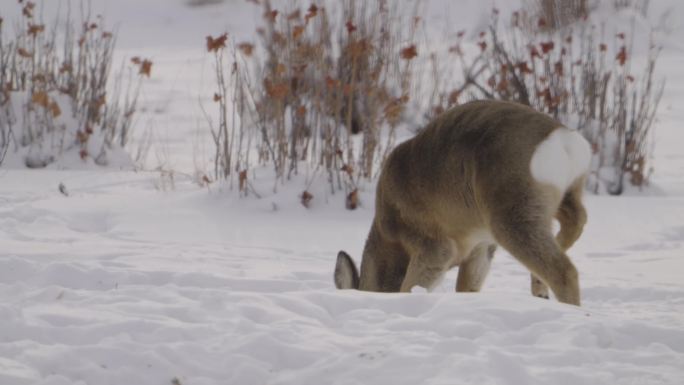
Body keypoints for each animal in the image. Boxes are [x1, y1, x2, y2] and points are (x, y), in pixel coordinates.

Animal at [334, 100, 592, 304]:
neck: (388, 235)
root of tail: (564, 141)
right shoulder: (480, 246)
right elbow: (467, 287)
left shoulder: (431, 244)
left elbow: (409, 288)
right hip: (564, 194)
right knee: (576, 222)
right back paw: (539, 287)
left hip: (513, 209)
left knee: (565, 270)